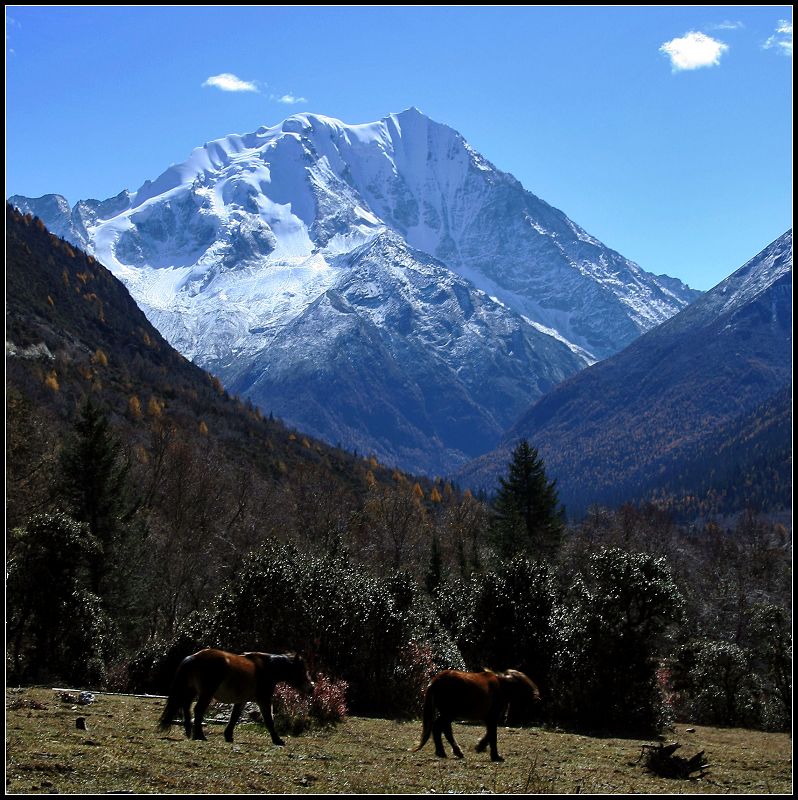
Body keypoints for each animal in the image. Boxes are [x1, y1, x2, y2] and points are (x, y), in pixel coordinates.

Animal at [159, 648, 316, 748]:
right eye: (302, 670)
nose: (311, 688)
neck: (267, 668)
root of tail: (194, 657)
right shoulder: (263, 699)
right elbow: (269, 720)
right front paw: (277, 740)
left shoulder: (242, 700)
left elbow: (234, 717)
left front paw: (228, 736)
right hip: (206, 693)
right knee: (198, 710)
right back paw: (199, 735)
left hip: (192, 691)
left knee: (186, 707)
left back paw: (189, 732)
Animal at [412, 668, 544, 764]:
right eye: (526, 704)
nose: (511, 720)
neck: (503, 686)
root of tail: (436, 680)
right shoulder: (492, 717)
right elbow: (493, 735)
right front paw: (495, 756)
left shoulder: (489, 718)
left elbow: (489, 734)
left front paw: (480, 747)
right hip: (449, 714)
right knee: (440, 728)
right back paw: (448, 751)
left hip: (448, 714)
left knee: (441, 728)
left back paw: (447, 752)